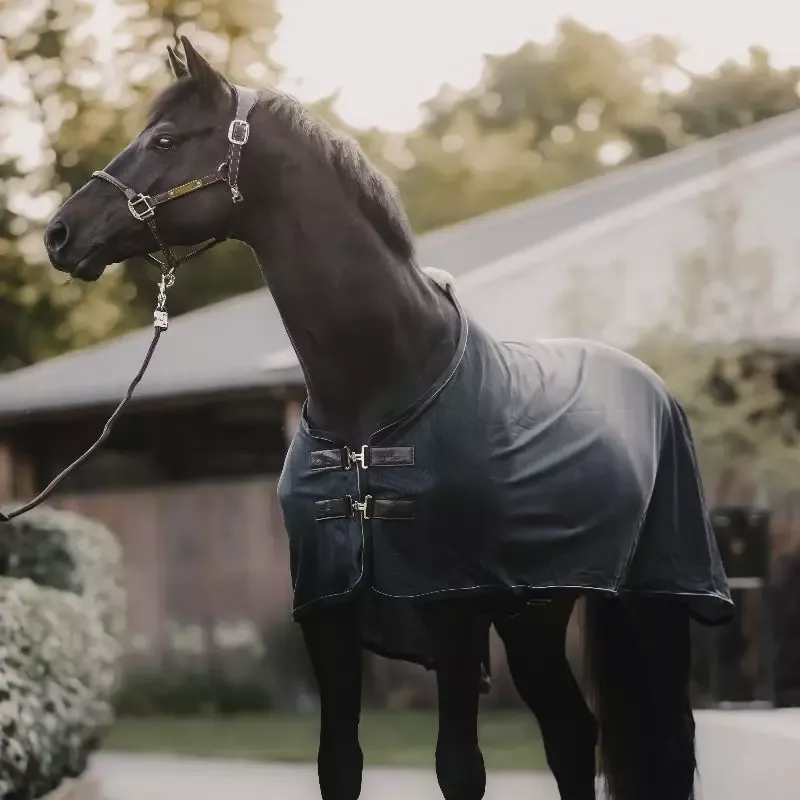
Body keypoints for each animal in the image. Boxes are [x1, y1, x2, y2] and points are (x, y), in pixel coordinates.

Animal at [42, 36, 733, 800]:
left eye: (164, 140)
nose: (59, 234)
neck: (378, 398)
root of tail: (653, 387)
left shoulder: (451, 605)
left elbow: (459, 768)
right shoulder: (328, 612)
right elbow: (338, 762)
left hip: (655, 606)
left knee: (664, 742)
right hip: (535, 614)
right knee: (571, 735)